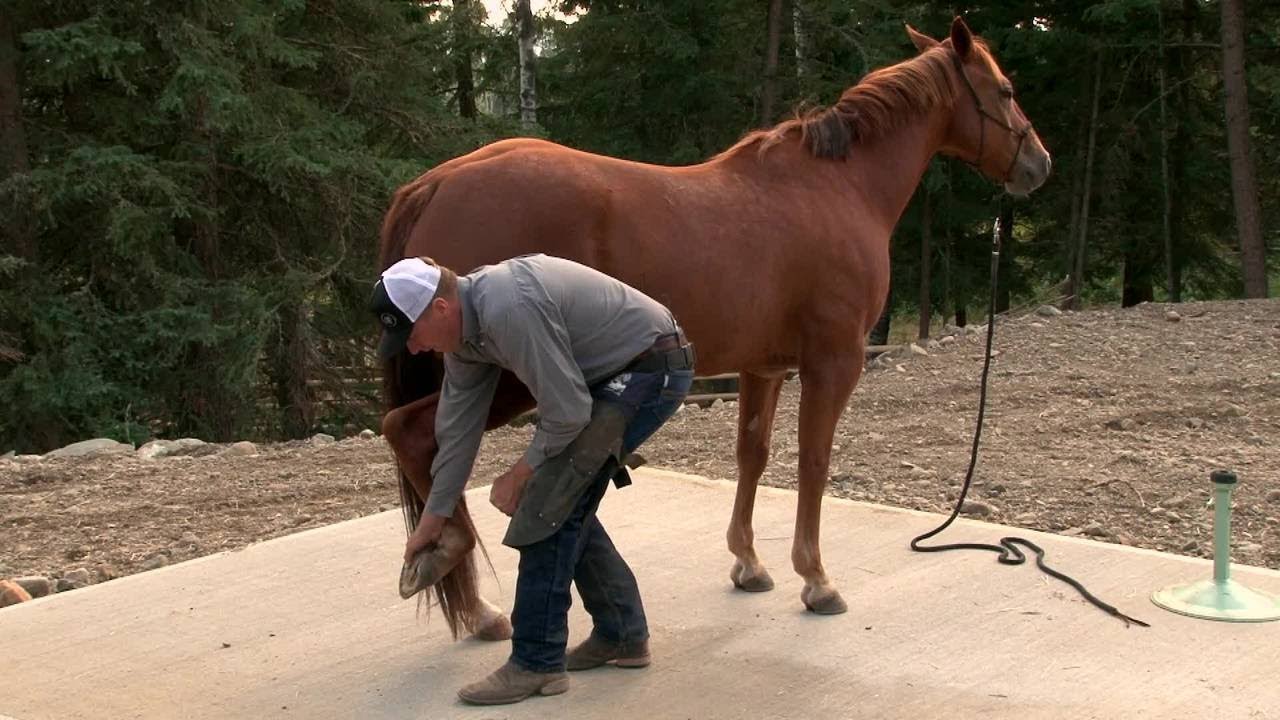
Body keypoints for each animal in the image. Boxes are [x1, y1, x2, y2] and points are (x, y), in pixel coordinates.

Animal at [378, 17, 1051, 641]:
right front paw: (816, 578)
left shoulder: (763, 367)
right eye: (1006, 89)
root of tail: (438, 181)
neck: (837, 188)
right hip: (507, 377)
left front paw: (748, 563)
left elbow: (752, 455)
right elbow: (813, 460)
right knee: (414, 434)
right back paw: (463, 585)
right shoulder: (834, 362)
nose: (1038, 164)